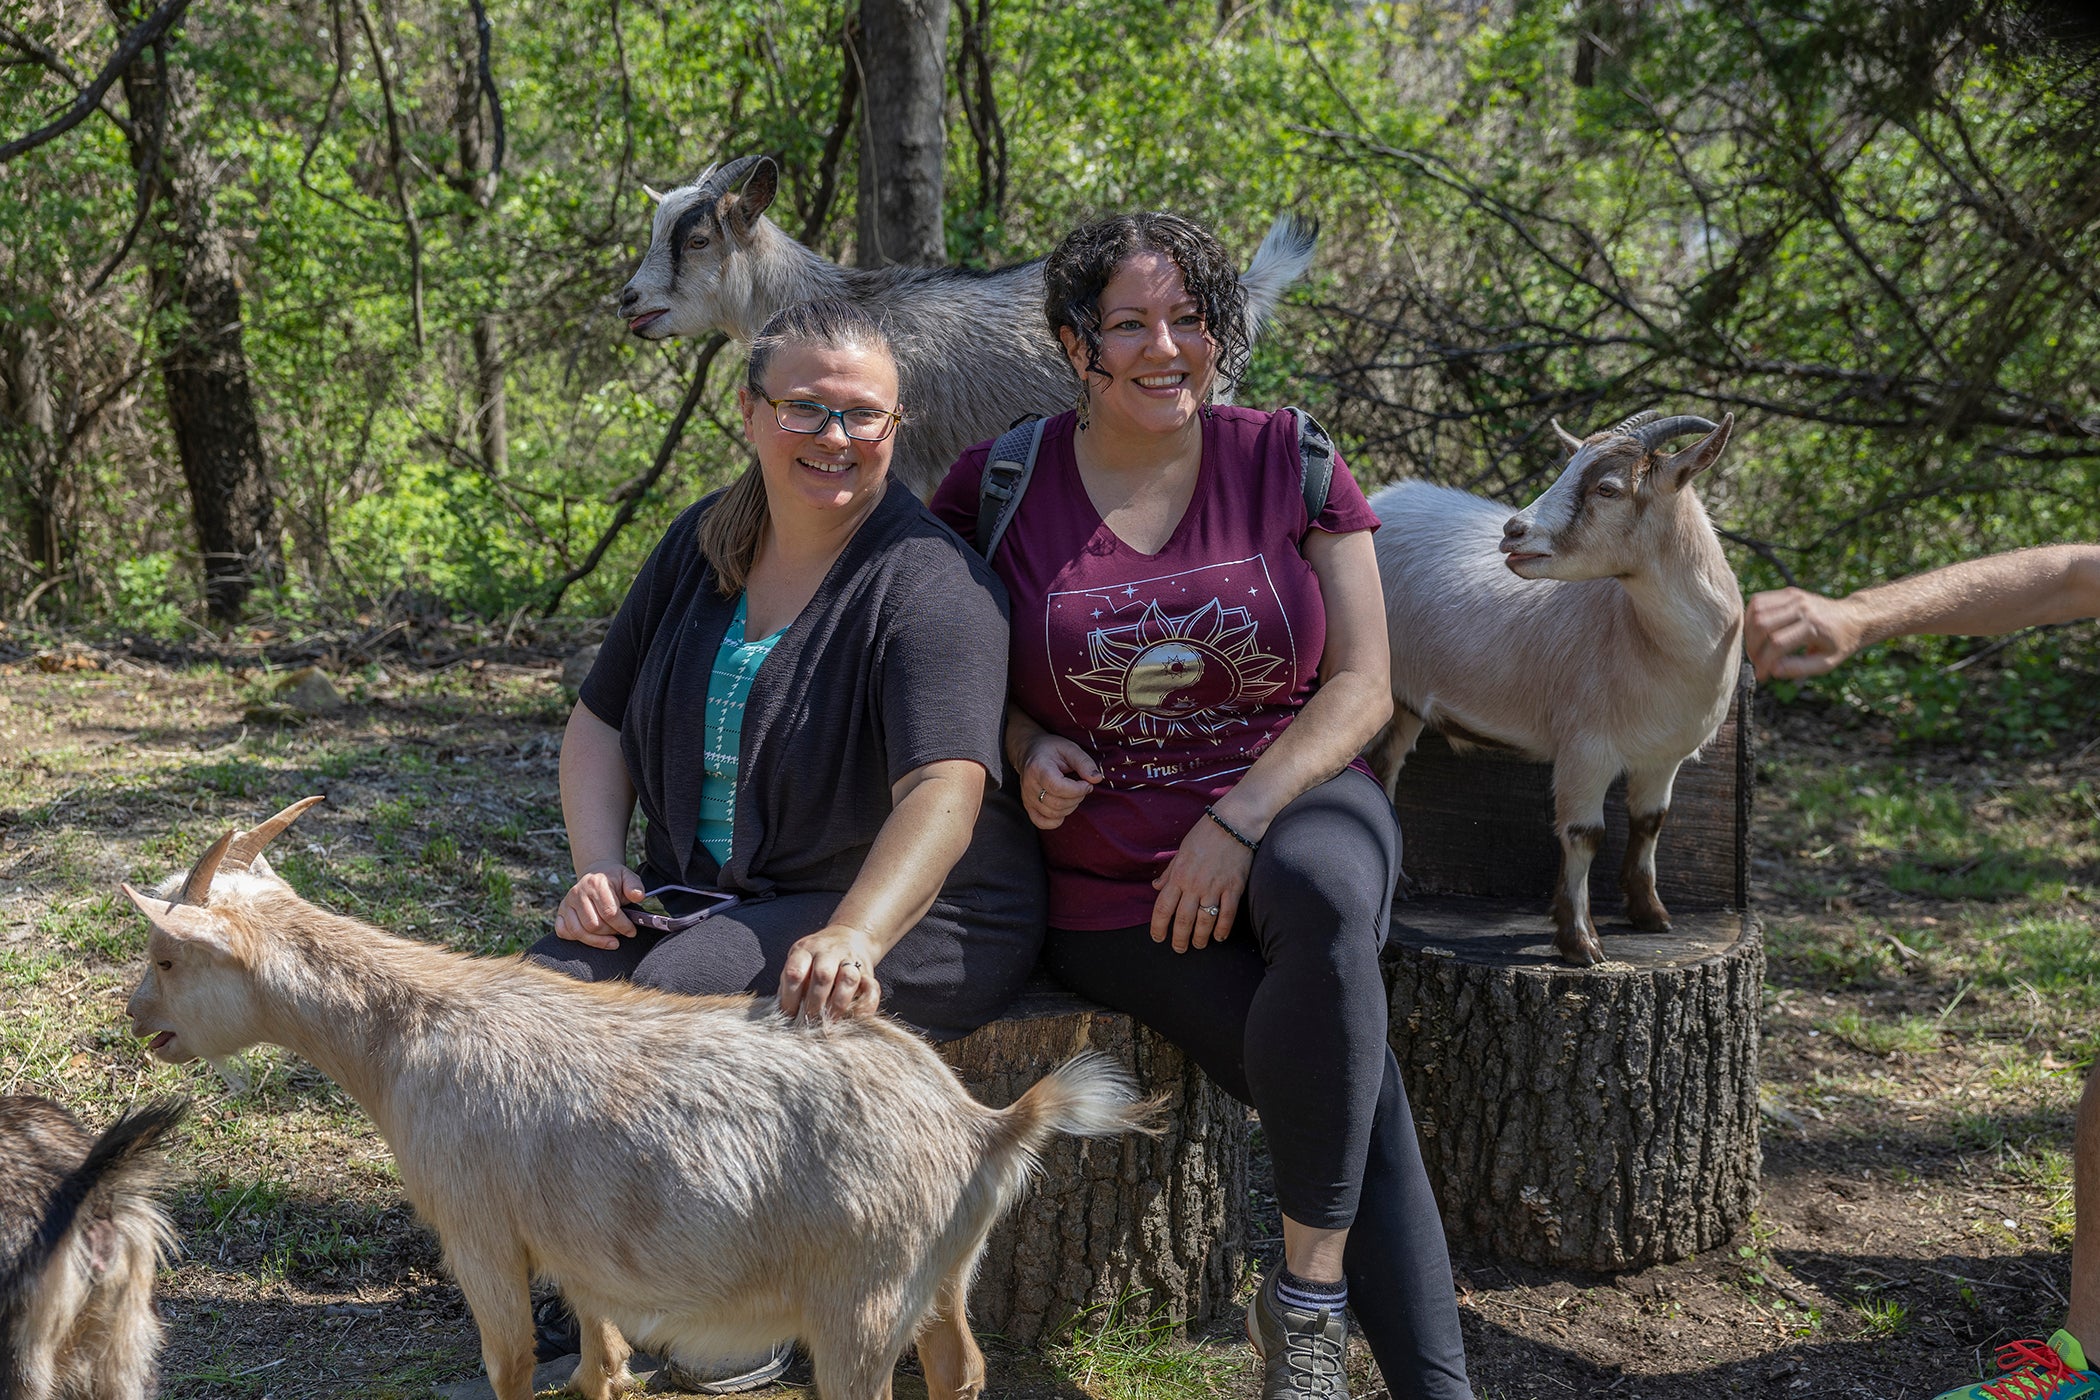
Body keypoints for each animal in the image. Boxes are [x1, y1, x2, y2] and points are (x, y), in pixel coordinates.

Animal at [120, 797, 1157, 1400]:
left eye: (167, 956)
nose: (136, 1019)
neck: (407, 1035)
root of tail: (987, 1125)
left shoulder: (478, 1229)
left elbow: (511, 1365)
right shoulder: (580, 1253)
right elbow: (601, 1367)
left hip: (862, 1297)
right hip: (939, 1276)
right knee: (962, 1367)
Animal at [1365, 412, 1743, 966]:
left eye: (1607, 488)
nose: (1513, 531)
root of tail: (1380, 499)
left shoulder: (1665, 755)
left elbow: (1650, 821)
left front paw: (1651, 915)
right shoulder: (1585, 749)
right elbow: (1585, 835)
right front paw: (1580, 942)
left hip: (1406, 700)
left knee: (1385, 765)